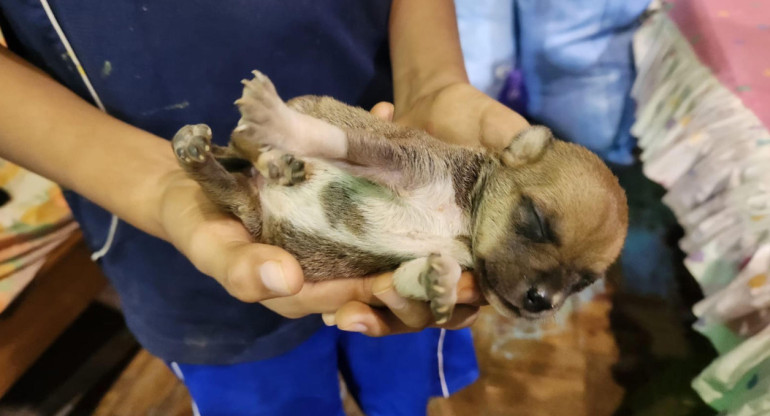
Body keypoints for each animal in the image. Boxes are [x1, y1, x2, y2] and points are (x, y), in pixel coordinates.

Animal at [171, 70, 628, 322]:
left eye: (582, 283)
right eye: (535, 220)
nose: (542, 302)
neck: (462, 218)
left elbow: (413, 277)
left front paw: (437, 284)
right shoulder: (397, 160)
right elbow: (337, 140)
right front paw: (282, 124)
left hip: (248, 211)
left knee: (221, 179)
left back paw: (201, 153)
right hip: (282, 124)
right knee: (241, 139)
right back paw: (269, 155)